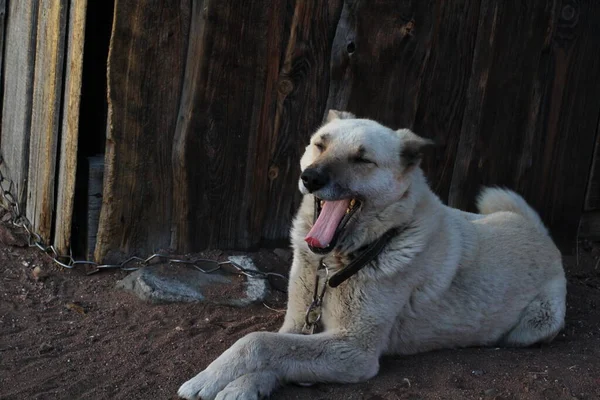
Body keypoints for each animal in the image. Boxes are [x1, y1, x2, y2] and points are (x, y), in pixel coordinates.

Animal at [179, 110, 568, 400]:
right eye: (320, 144)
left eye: (362, 159)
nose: (311, 177)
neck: (338, 263)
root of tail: (540, 233)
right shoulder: (299, 323)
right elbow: (273, 345)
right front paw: (243, 384)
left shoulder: (355, 350)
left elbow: (258, 342)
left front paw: (210, 378)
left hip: (536, 325)